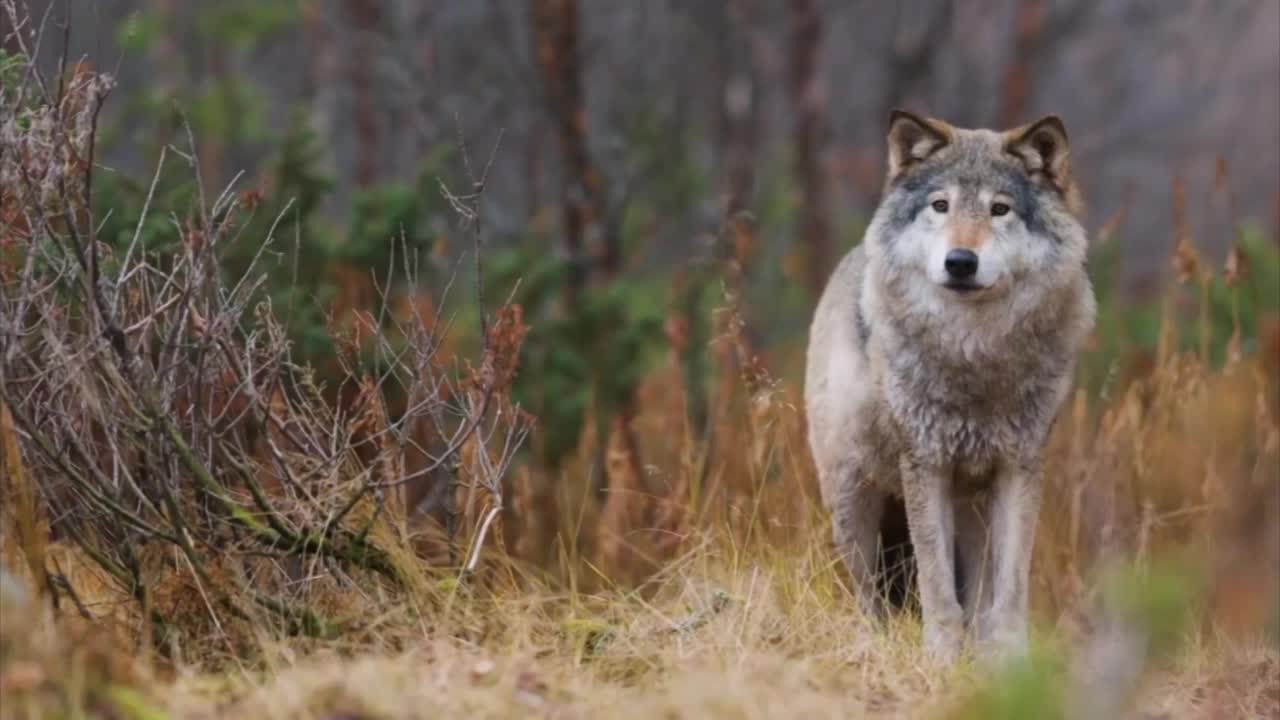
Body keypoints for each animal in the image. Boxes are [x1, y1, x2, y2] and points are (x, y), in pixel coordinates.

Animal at [804, 110, 1095, 663]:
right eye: (940, 206)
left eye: (999, 210)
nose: (961, 261)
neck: (973, 357)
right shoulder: (926, 467)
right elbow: (937, 587)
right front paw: (939, 660)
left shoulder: (1019, 468)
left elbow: (1008, 589)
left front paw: (1010, 662)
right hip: (854, 500)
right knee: (870, 596)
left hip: (971, 509)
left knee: (978, 586)